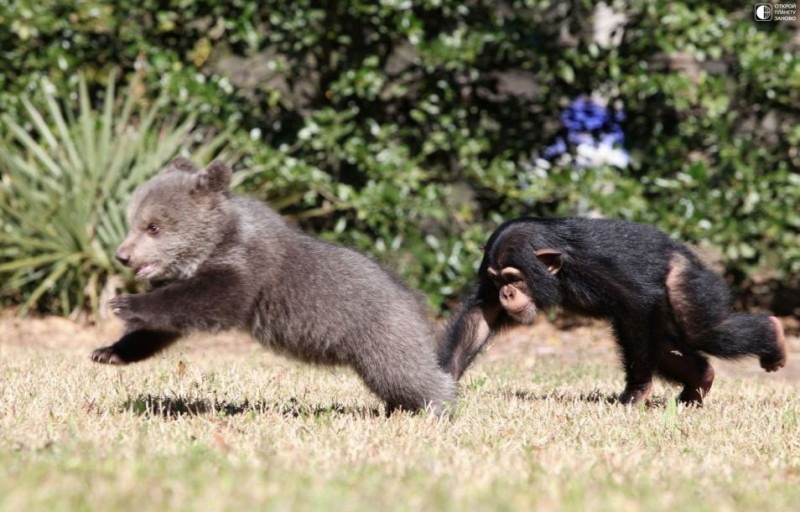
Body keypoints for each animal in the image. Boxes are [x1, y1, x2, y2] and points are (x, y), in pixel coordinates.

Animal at [440, 218, 792, 406]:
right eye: (498, 280)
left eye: (514, 278)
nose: (507, 292)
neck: (559, 267)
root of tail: (689, 254)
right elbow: (480, 317)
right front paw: (442, 384)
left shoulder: (598, 267)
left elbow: (635, 305)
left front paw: (636, 391)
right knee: (667, 346)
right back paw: (698, 383)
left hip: (687, 281)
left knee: (702, 331)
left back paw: (773, 336)